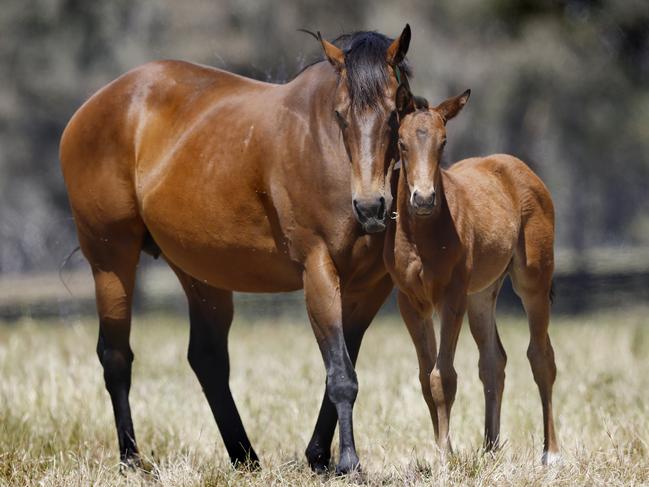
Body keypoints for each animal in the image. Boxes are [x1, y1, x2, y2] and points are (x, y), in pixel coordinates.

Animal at [62, 25, 416, 472]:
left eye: (396, 110)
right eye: (340, 115)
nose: (371, 207)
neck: (329, 154)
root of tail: (89, 109)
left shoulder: (369, 289)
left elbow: (341, 368)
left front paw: (319, 456)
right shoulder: (318, 271)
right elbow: (341, 377)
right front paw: (347, 463)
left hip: (200, 273)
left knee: (207, 359)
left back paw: (244, 456)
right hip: (111, 261)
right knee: (116, 356)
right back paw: (131, 459)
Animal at [382, 90, 560, 466]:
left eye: (443, 142)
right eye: (401, 143)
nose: (423, 198)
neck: (423, 235)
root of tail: (522, 170)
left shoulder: (452, 297)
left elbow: (443, 377)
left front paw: (444, 459)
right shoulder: (410, 303)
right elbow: (426, 378)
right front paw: (442, 449)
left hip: (532, 282)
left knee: (541, 357)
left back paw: (551, 453)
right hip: (482, 295)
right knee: (493, 362)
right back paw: (490, 448)